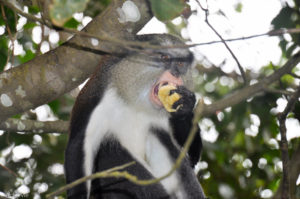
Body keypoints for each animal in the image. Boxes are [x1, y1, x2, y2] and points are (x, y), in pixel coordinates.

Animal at [65, 34, 206, 199]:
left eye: (180, 63)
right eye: (164, 57)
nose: (176, 73)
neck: (136, 102)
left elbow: (190, 157)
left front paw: (185, 107)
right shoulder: (99, 99)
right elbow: (80, 143)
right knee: (109, 148)